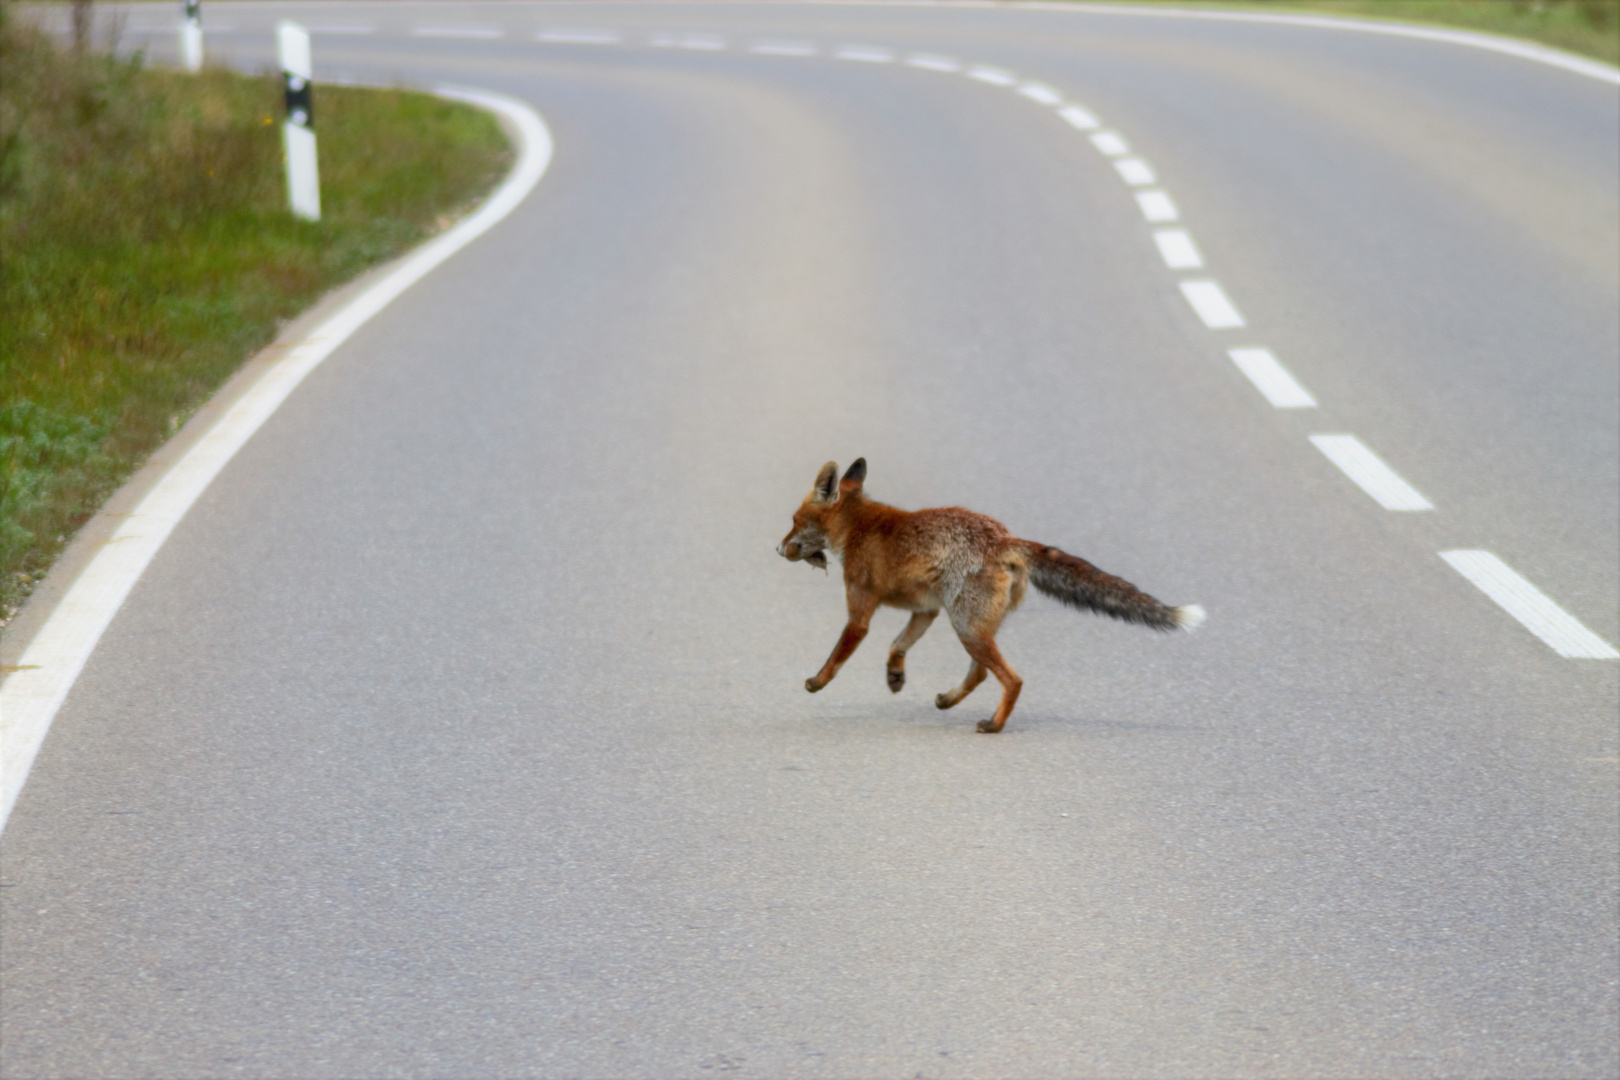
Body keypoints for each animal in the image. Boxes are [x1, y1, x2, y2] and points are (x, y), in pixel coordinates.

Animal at [771, 456, 1205, 735]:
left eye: (793, 521)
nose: (776, 549)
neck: (858, 526)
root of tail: (1005, 538)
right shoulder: (925, 611)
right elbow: (897, 644)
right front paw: (895, 675)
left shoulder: (860, 612)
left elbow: (839, 655)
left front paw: (817, 682)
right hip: (970, 626)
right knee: (981, 673)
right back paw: (948, 701)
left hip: (966, 628)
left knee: (1011, 679)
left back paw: (994, 725)